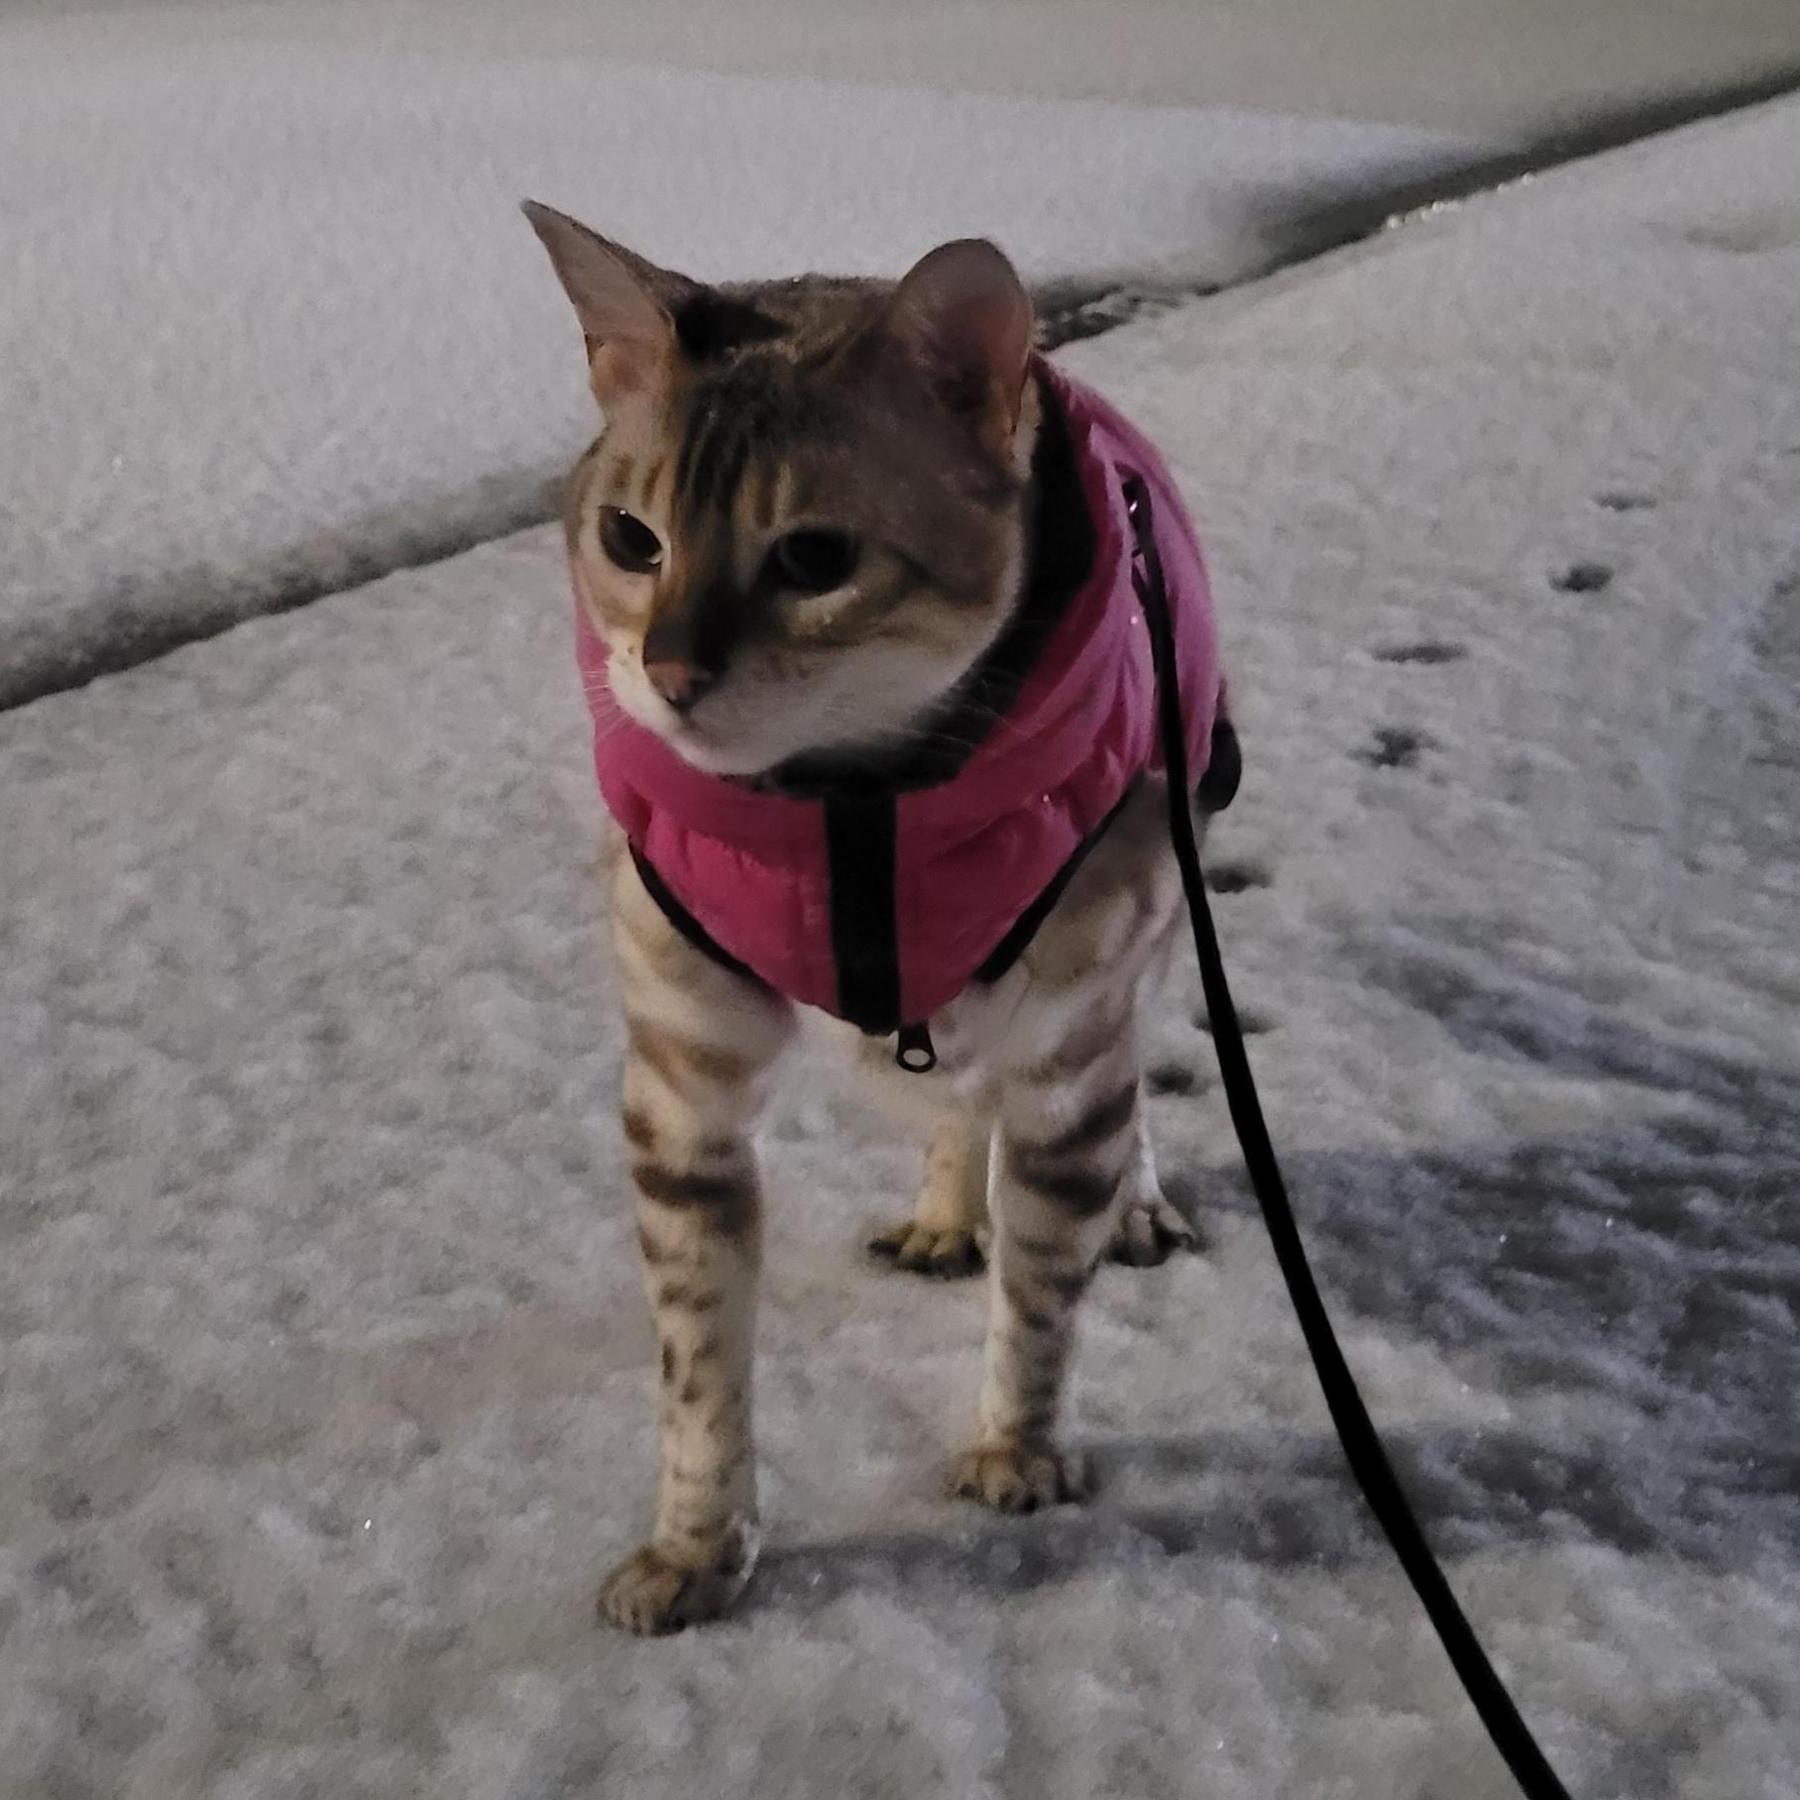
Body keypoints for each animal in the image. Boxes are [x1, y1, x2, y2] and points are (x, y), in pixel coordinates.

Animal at [518, 204, 1224, 1641]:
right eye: (630, 538)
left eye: (815, 557)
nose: (668, 672)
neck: (850, 807)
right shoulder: (682, 1092)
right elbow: (698, 1364)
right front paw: (695, 1546)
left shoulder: (1073, 1053)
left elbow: (1042, 1297)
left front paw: (1018, 1447)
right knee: (952, 1103)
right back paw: (948, 1212)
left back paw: (1134, 1205)